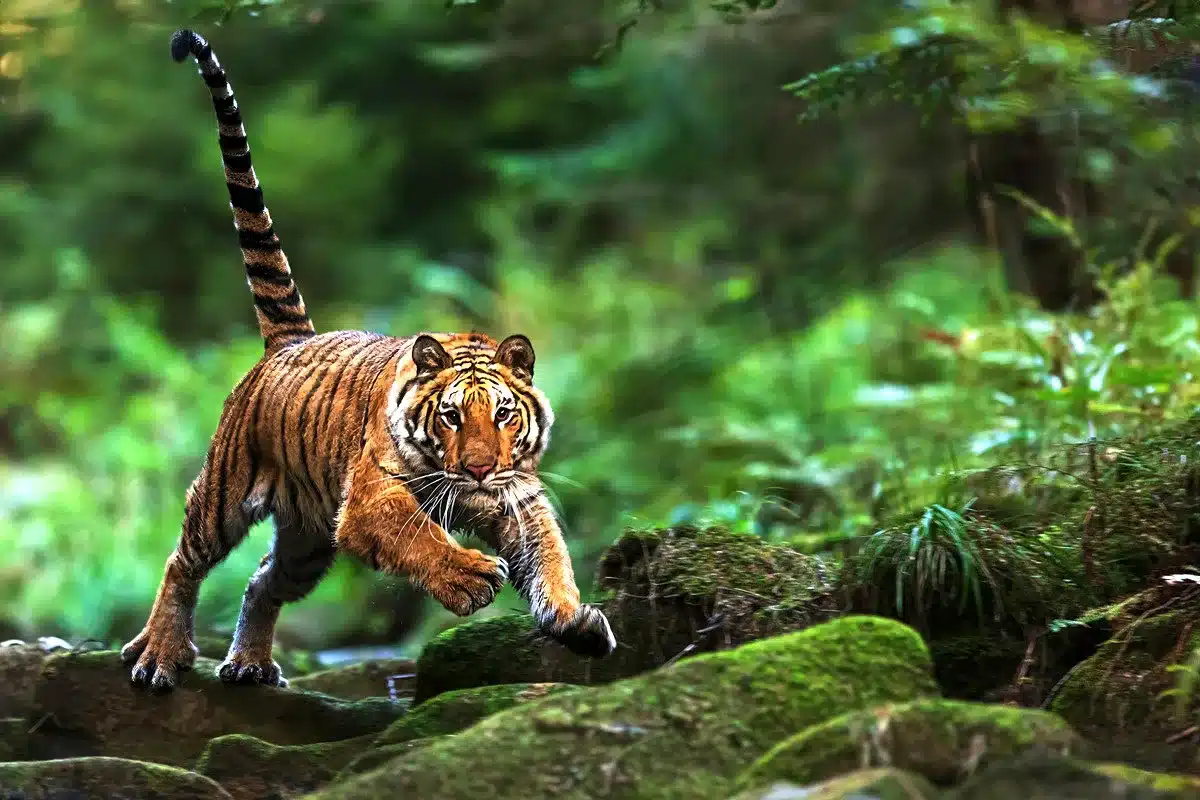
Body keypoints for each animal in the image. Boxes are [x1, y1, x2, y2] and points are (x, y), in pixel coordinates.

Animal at [120, 29, 617, 692]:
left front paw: (574, 620)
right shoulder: (370, 497)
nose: (480, 471)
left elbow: (550, 555)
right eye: (452, 416)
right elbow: (418, 534)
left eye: (504, 414)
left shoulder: (517, 496)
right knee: (183, 560)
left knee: (261, 581)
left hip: (307, 542)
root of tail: (290, 341)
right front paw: (473, 579)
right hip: (224, 493)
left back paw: (248, 664)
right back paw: (158, 655)